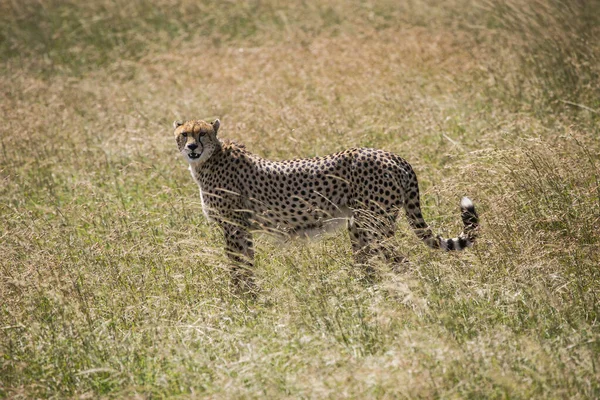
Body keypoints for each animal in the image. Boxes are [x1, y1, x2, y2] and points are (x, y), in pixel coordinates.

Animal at [172, 119, 478, 290]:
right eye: (184, 134)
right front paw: (251, 297)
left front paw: (239, 300)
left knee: (401, 262)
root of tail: (392, 155)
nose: (192, 147)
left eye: (202, 134)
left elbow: (237, 267)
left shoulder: (234, 228)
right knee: (371, 263)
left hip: (375, 225)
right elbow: (246, 265)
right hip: (360, 226)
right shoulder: (243, 229)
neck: (208, 160)